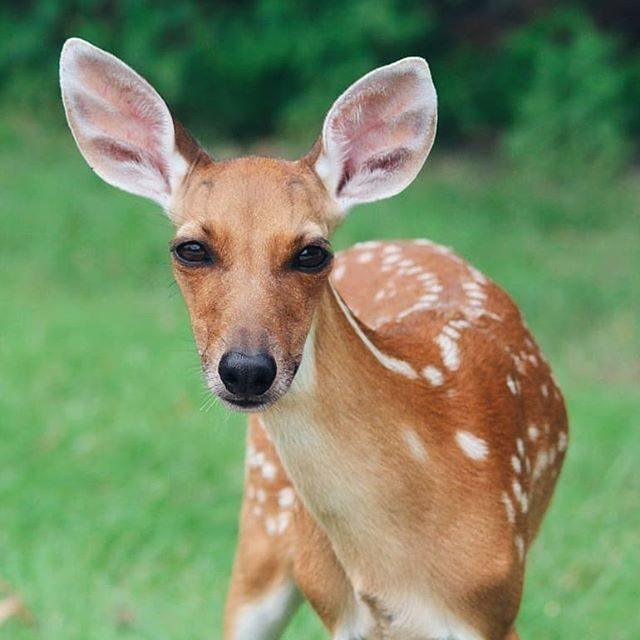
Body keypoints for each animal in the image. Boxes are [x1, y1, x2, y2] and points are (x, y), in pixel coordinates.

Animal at [59, 37, 569, 640]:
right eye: (191, 248)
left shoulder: (495, 607)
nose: (247, 369)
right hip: (265, 522)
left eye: (312, 253)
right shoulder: (340, 612)